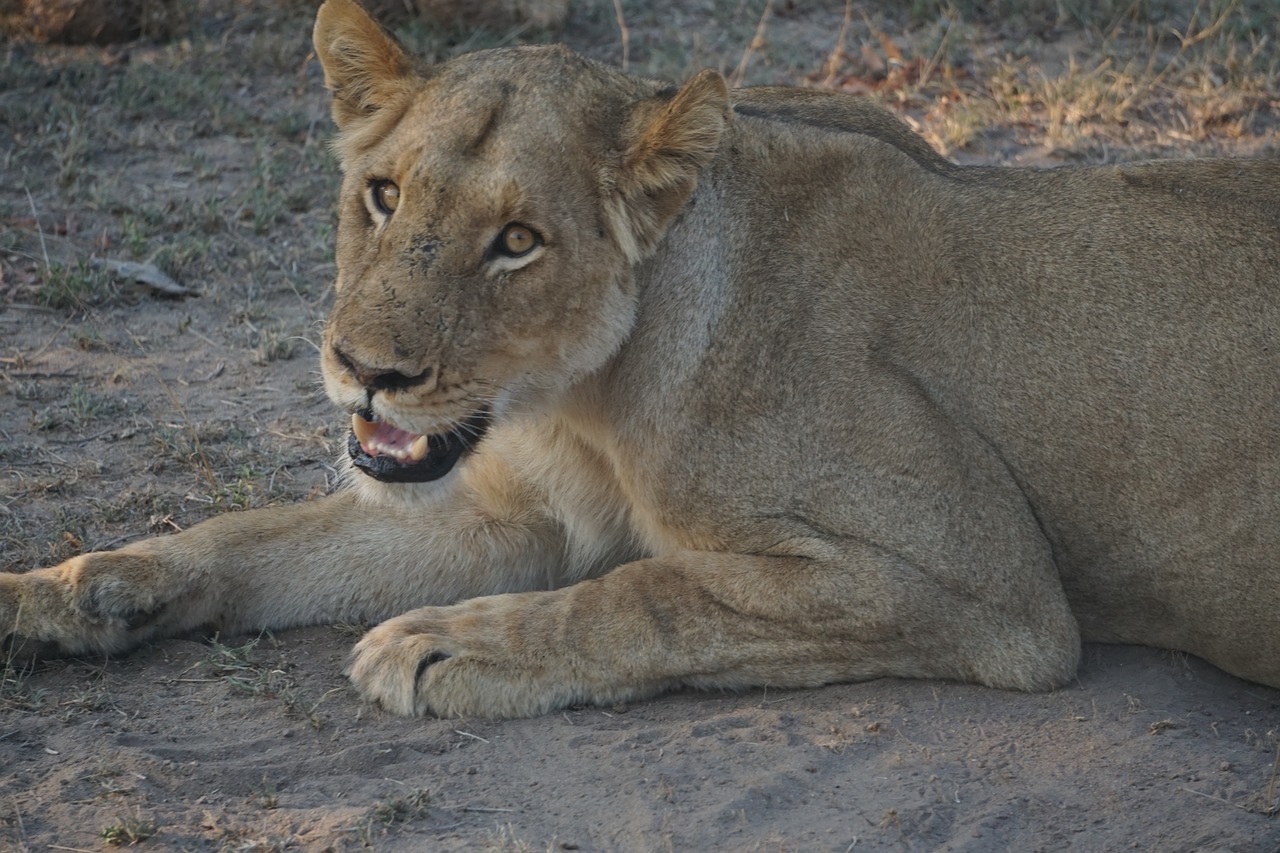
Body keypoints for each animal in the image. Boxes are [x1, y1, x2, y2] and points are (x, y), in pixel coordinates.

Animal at [2, 0, 1280, 717]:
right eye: (382, 195)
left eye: (517, 241)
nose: (365, 369)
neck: (579, 404)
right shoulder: (506, 511)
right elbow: (256, 538)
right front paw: (60, 593)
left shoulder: (989, 586)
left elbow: (648, 591)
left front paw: (445, 643)